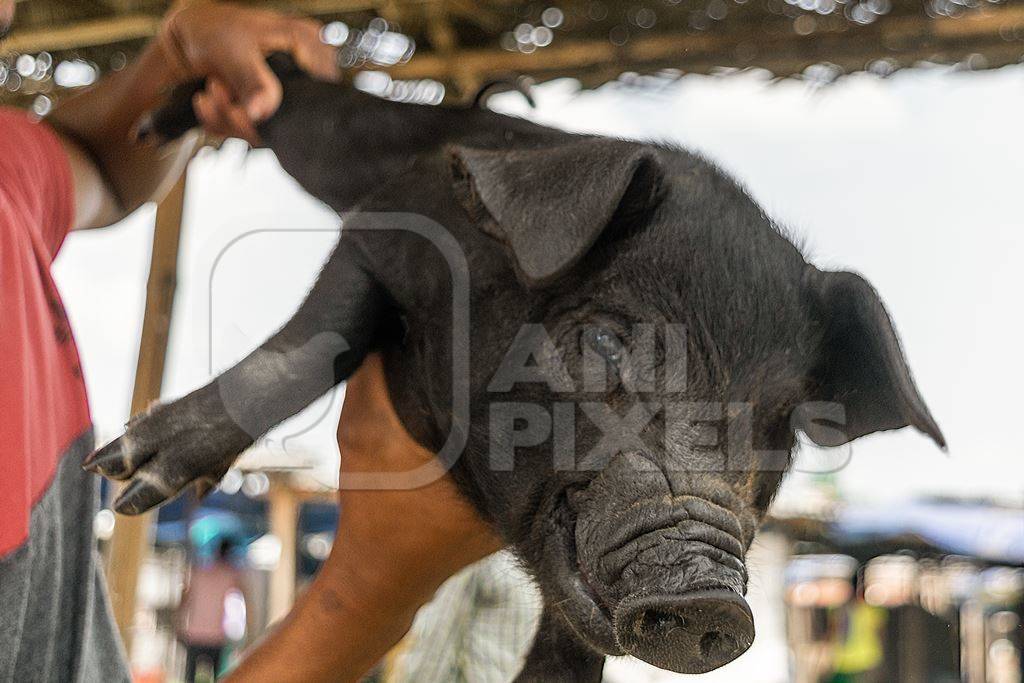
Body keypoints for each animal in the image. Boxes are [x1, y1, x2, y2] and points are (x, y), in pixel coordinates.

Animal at [88, 61, 942, 679]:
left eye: (780, 429)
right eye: (604, 341)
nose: (711, 598)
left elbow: (573, 629)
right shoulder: (384, 229)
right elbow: (311, 345)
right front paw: (125, 474)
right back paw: (155, 122)